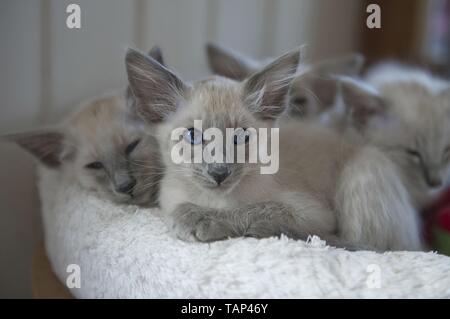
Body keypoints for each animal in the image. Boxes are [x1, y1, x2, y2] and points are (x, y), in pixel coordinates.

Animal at [124, 48, 422, 252]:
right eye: (193, 137)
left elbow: (259, 208)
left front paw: (197, 218)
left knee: (371, 245)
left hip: (362, 170)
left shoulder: (313, 213)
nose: (219, 172)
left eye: (241, 137)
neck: (213, 200)